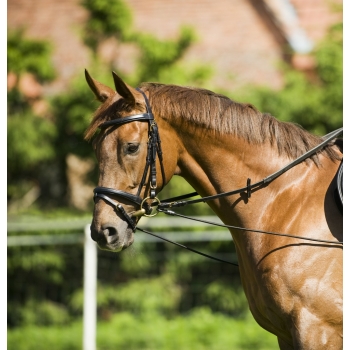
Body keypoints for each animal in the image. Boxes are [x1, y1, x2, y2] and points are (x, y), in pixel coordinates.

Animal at [84, 69, 342, 348]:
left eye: (131, 147)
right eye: (97, 149)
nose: (104, 231)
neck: (285, 200)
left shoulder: (317, 330)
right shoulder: (285, 334)